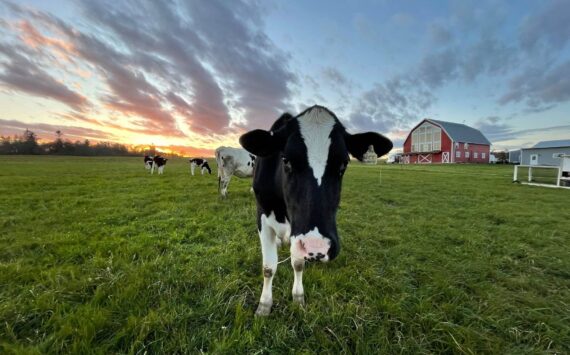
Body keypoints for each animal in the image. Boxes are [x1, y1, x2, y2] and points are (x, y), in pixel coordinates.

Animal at [236, 105, 390, 318]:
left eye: (344, 164)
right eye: (286, 160)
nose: (317, 247)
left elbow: (298, 264)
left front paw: (298, 297)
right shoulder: (262, 217)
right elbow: (268, 268)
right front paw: (264, 305)